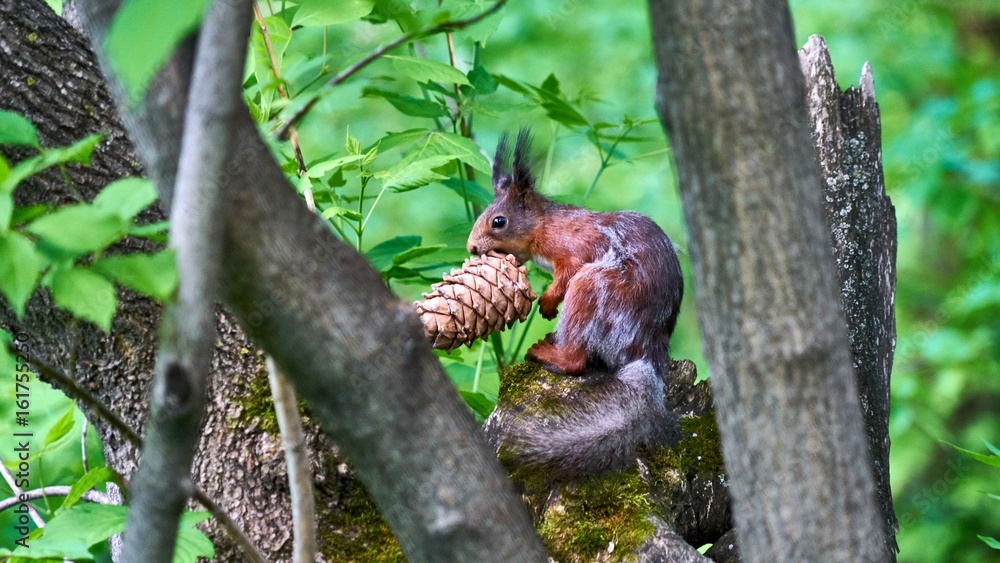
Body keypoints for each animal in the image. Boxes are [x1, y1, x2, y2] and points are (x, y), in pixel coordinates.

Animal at [467, 129, 684, 479]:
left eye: (498, 221)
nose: (472, 247)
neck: (545, 225)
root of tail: (645, 350)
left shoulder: (577, 249)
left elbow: (565, 273)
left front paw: (547, 302)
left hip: (593, 289)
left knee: (577, 361)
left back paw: (548, 352)